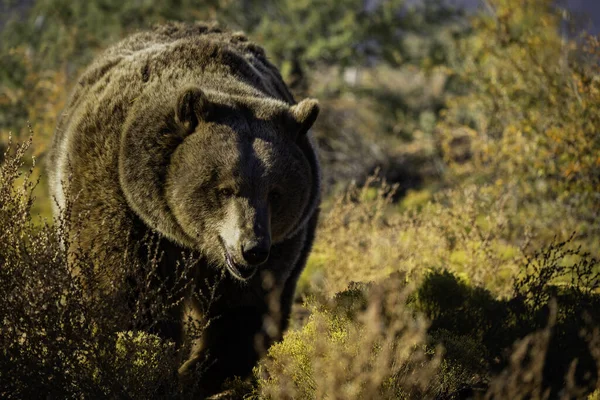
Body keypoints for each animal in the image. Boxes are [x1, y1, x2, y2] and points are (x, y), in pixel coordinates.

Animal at [48, 22, 318, 396]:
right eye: (224, 188)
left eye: (275, 193)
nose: (251, 248)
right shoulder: (120, 200)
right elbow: (131, 298)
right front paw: (152, 365)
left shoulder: (283, 246)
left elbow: (246, 314)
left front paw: (197, 371)